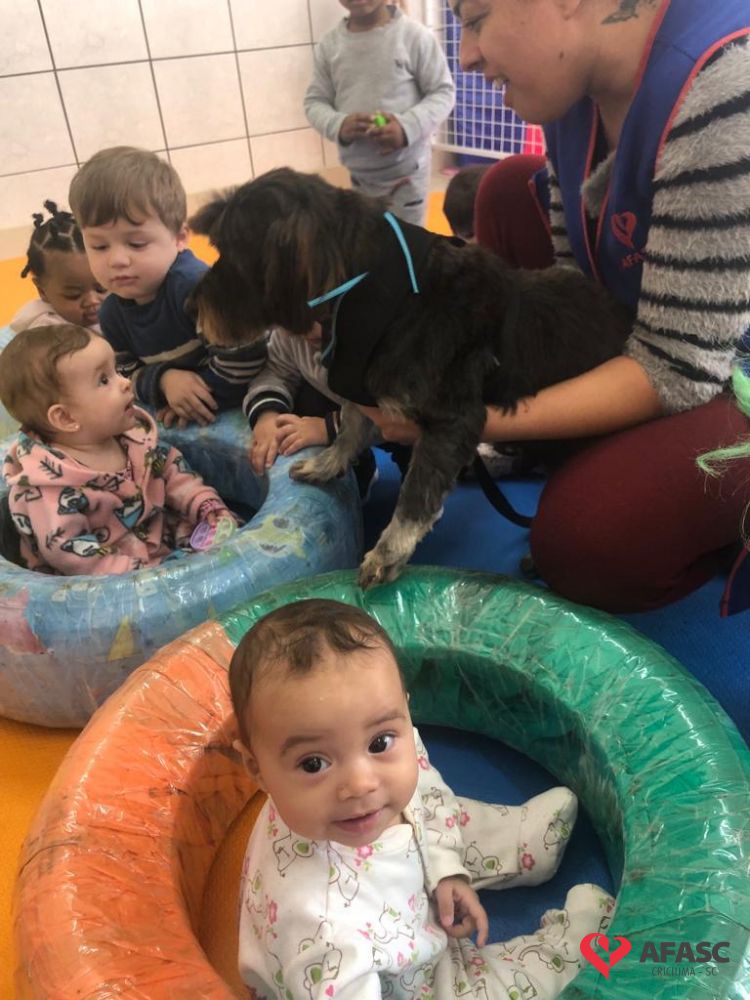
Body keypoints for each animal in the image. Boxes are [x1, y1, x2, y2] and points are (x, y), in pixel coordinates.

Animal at [189, 168, 632, 589]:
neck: (382, 297)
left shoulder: (451, 423)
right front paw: (325, 464)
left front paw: (387, 553)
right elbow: (349, 430)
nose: (192, 307)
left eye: (233, 255)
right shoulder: (365, 394)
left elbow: (416, 494)